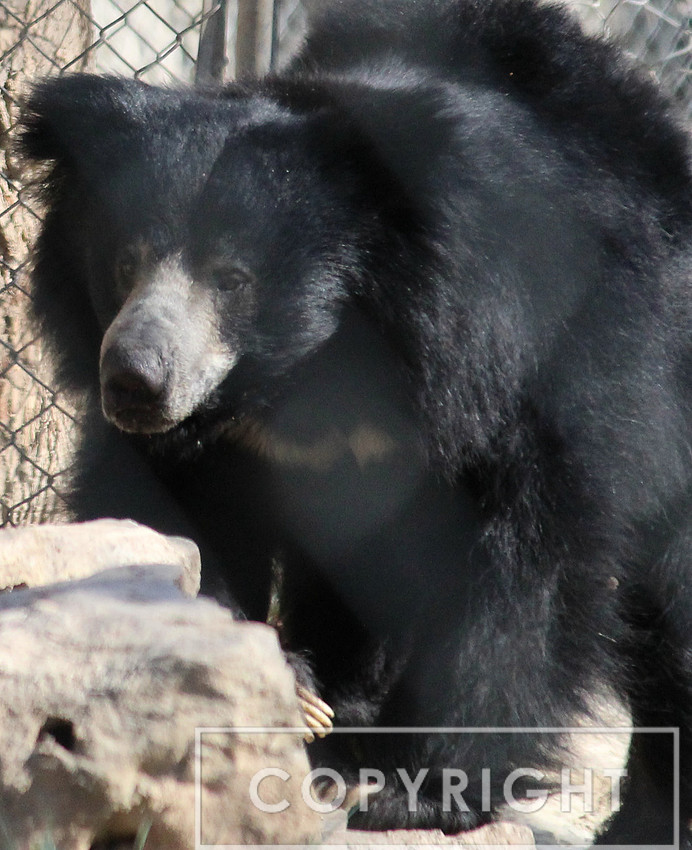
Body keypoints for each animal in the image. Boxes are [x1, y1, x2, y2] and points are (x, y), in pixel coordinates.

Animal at [17, 0, 692, 842]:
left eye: (234, 277)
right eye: (124, 261)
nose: (135, 379)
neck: (308, 372)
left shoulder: (526, 368)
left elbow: (523, 576)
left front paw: (425, 791)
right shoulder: (208, 444)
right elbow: (165, 520)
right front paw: (272, 687)